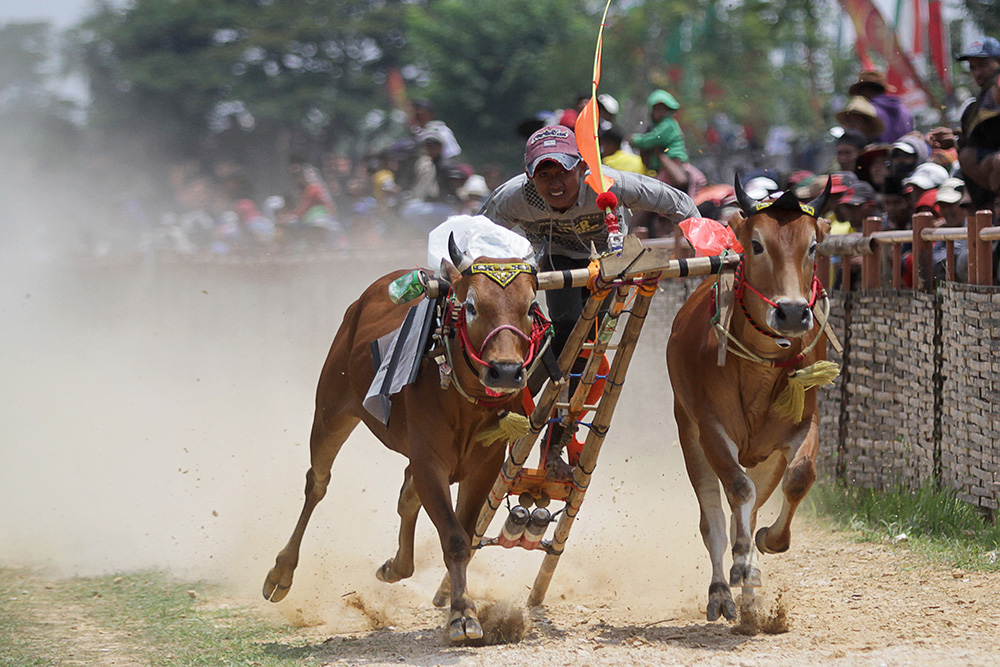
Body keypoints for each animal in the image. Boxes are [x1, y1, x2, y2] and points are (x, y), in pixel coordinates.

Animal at [264, 240, 548, 640]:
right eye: (472, 306)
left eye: (529, 306)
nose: (506, 371)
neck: (464, 401)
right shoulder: (429, 462)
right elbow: (455, 540)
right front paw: (462, 615)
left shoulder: (485, 467)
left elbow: (463, 533)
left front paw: (461, 607)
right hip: (331, 412)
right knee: (317, 483)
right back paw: (281, 574)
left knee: (406, 495)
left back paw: (395, 566)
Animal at [672, 176, 836, 620]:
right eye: (757, 244)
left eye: (812, 246)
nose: (793, 313)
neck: (760, 369)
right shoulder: (710, 429)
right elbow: (736, 494)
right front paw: (740, 564)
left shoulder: (802, 424)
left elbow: (799, 478)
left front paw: (766, 543)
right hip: (688, 432)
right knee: (714, 518)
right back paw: (722, 592)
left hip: (765, 457)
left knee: (748, 508)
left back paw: (750, 594)